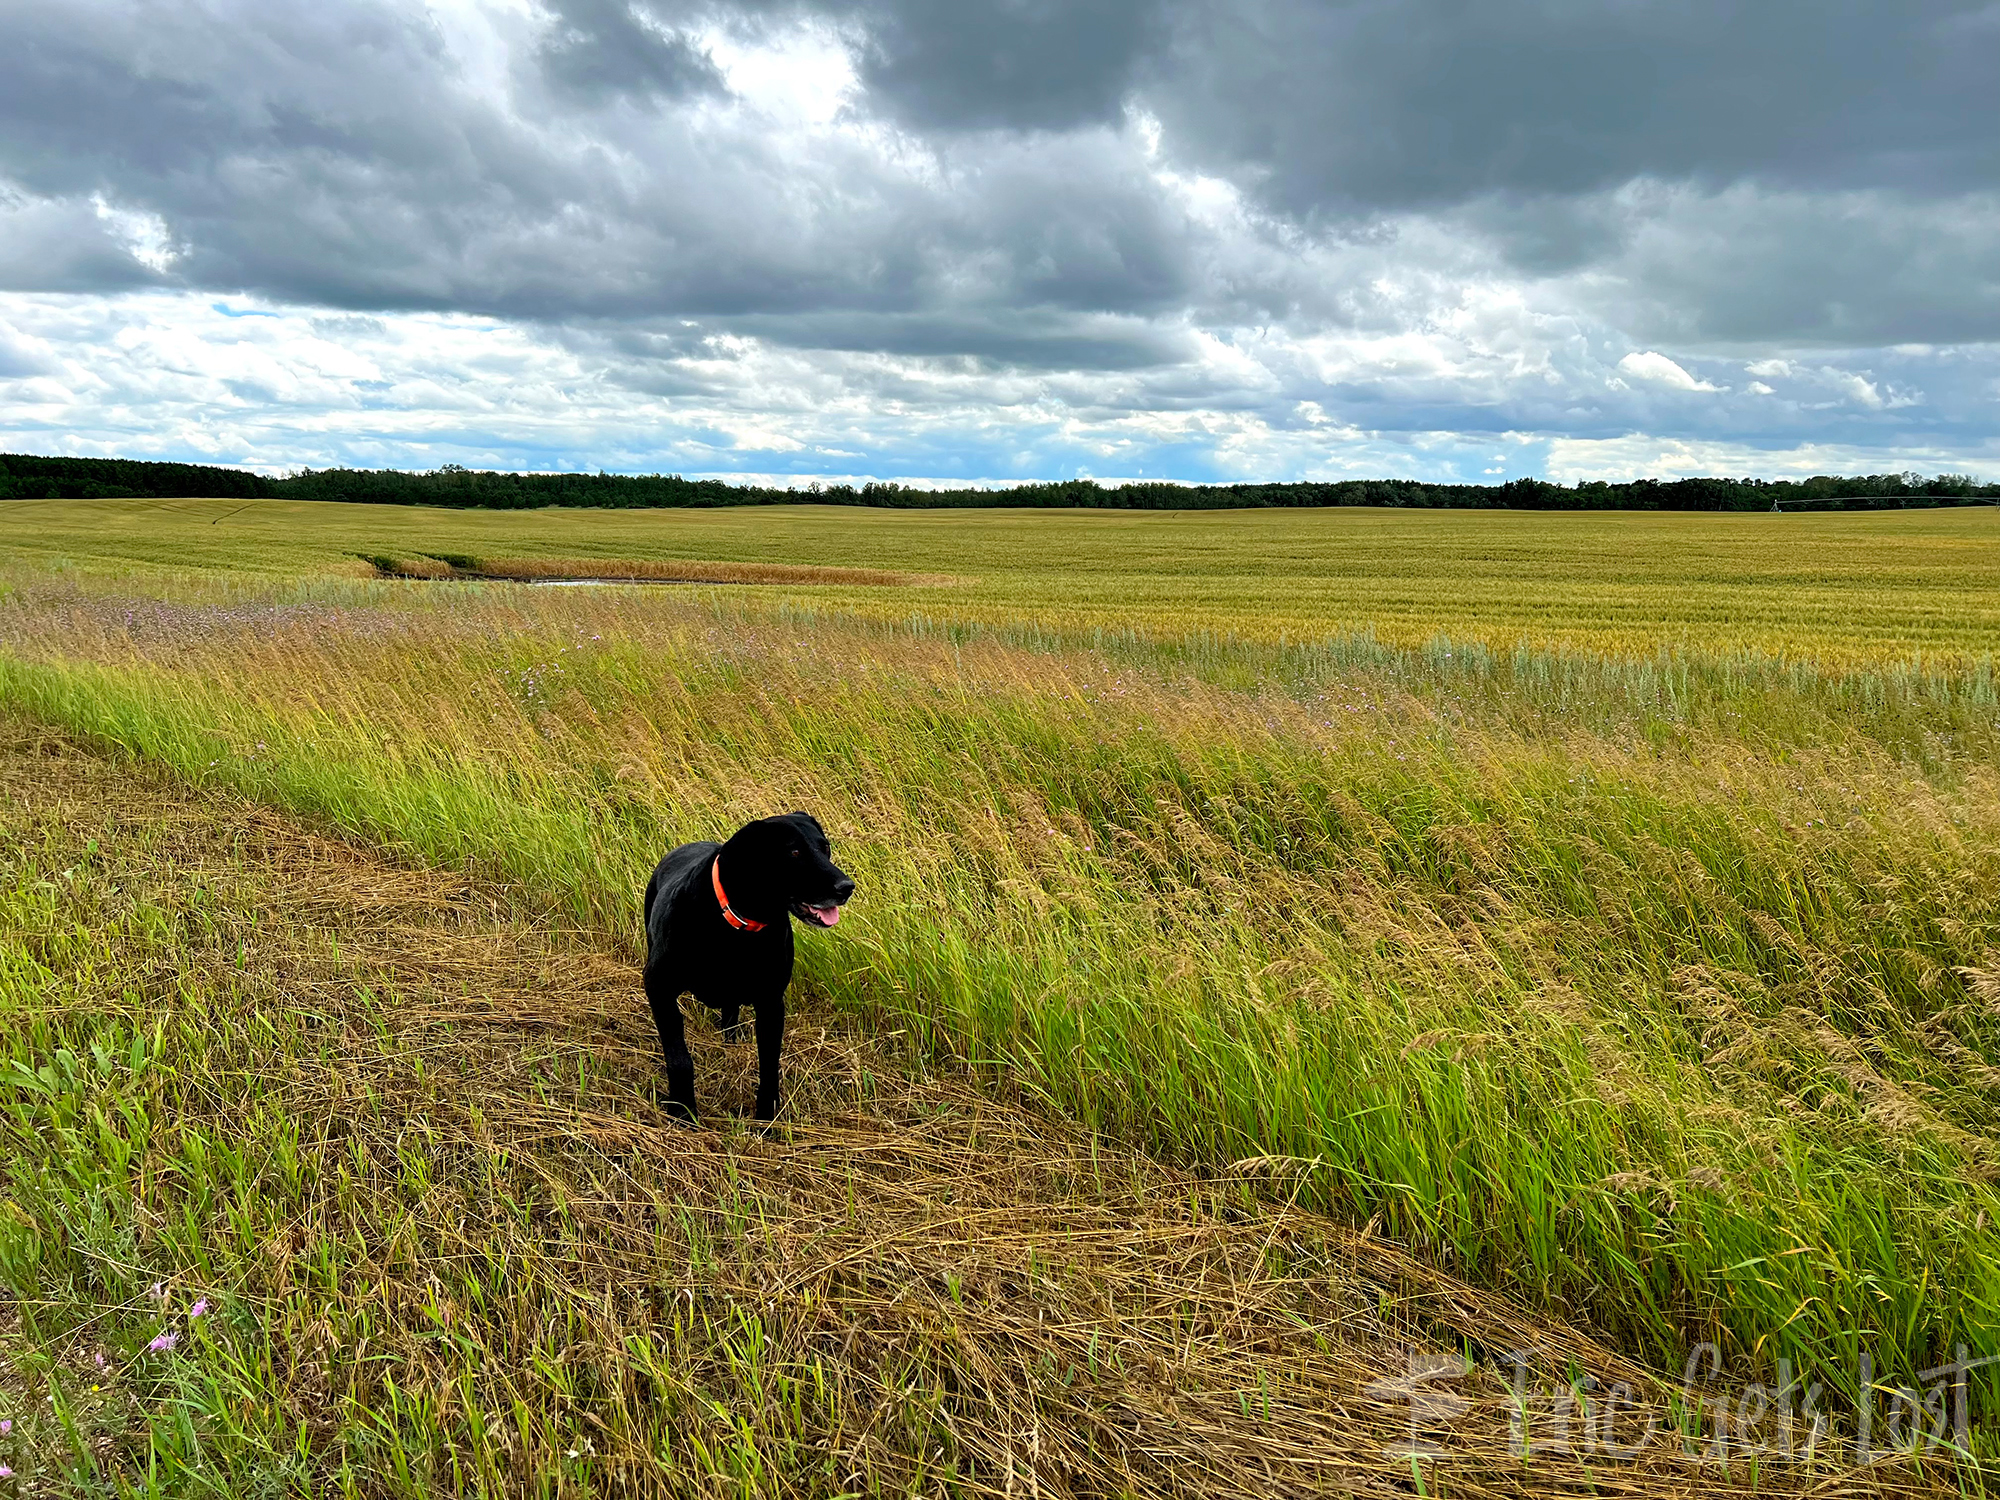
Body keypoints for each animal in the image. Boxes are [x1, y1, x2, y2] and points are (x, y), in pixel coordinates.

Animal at [644, 816, 856, 1120]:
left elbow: (769, 1064)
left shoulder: (771, 1003)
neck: (737, 927)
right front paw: (683, 1110)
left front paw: (766, 1115)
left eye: (824, 847)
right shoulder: (658, 987)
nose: (846, 887)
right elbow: (679, 1058)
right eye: (794, 852)